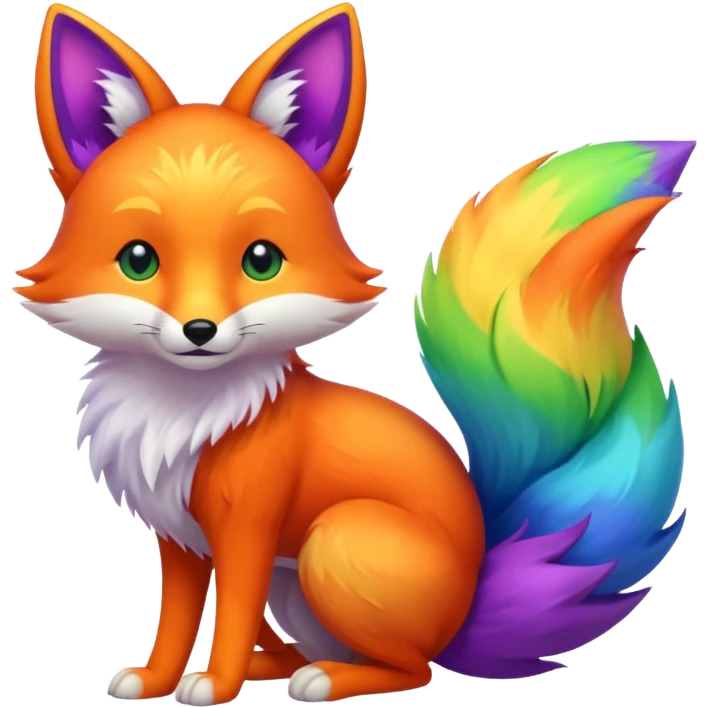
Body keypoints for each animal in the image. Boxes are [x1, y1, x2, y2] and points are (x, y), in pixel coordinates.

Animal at [20, 1, 690, 705]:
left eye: (261, 260)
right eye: (138, 260)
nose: (199, 329)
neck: (184, 412)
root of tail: (469, 602)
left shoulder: (247, 529)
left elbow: (229, 616)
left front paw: (216, 684)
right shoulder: (180, 538)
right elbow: (177, 620)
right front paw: (156, 680)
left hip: (332, 542)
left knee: (411, 669)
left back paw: (318, 680)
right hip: (295, 584)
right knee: (317, 650)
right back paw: (277, 668)